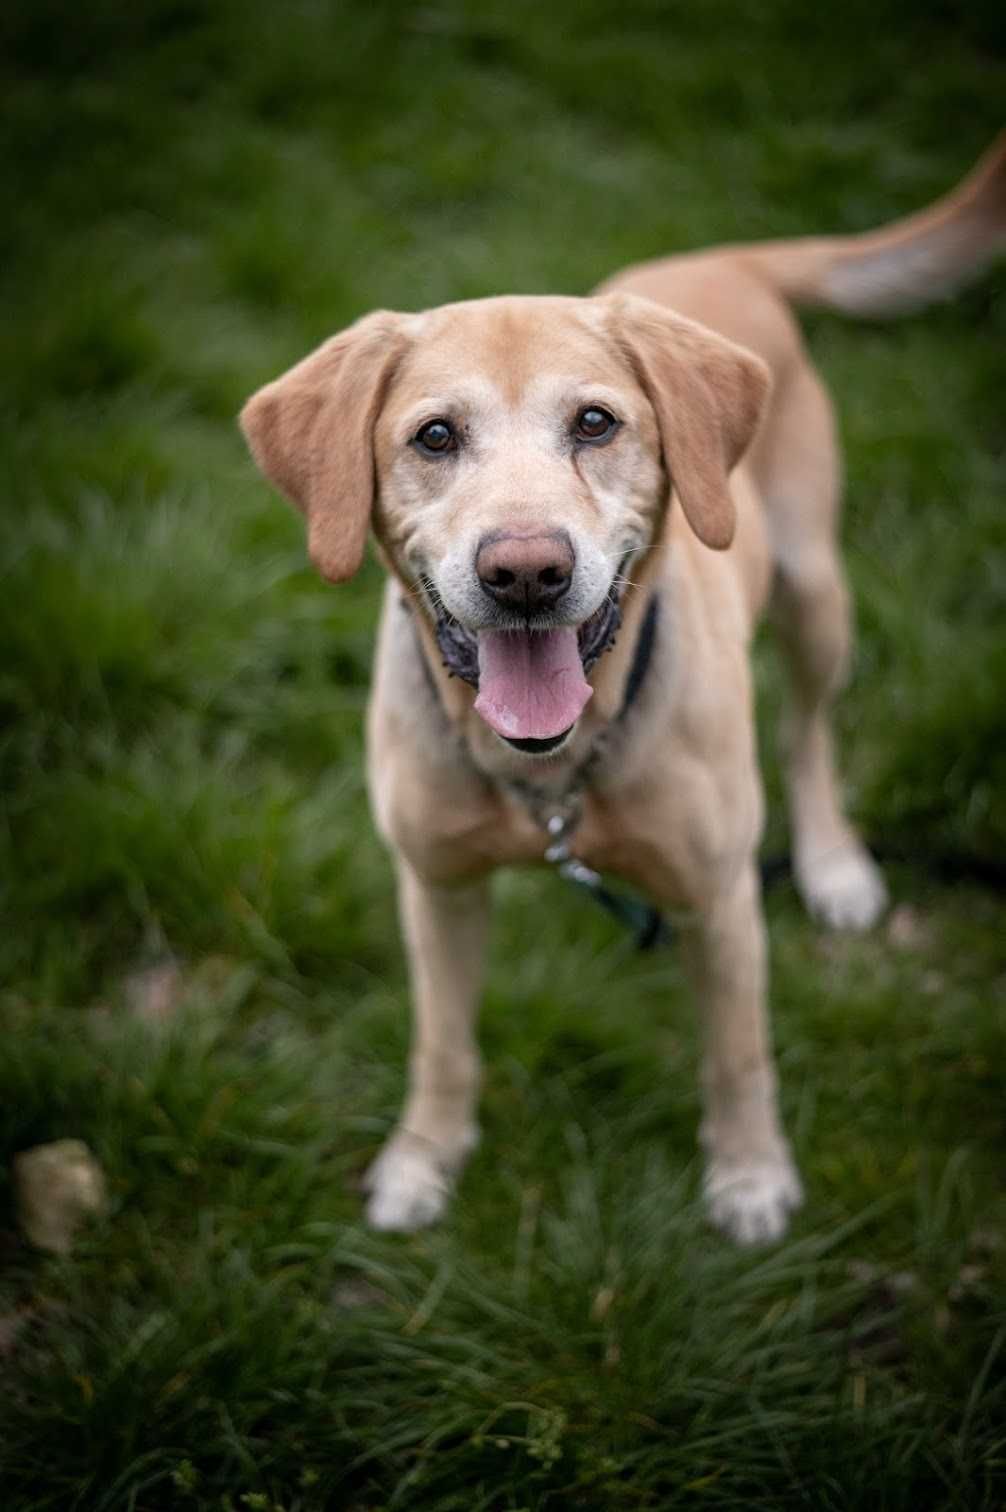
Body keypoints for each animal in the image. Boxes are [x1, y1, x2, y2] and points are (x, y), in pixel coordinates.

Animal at [242, 139, 1004, 1239]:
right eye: (434, 437)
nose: (525, 572)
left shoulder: (719, 902)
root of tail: (726, 259)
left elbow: (736, 1055)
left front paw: (749, 1176)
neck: (551, 775)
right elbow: (443, 1045)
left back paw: (832, 864)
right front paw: (421, 1160)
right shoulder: (435, 889)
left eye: (595, 423)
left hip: (817, 595)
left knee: (809, 733)